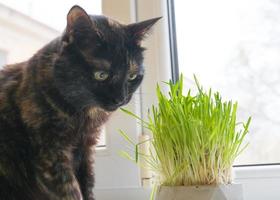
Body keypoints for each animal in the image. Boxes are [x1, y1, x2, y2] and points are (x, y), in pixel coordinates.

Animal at [0, 4, 160, 200]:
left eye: (132, 76)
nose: (121, 98)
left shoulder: (86, 149)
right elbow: (70, 190)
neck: (83, 115)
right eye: (101, 75)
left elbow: (87, 184)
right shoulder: (51, 153)